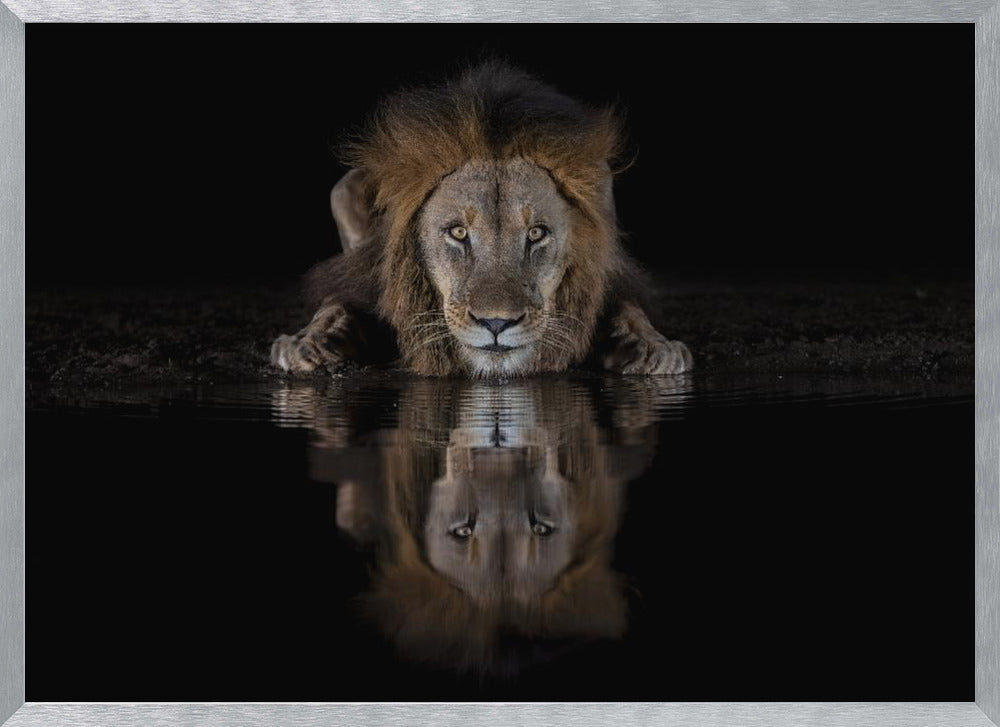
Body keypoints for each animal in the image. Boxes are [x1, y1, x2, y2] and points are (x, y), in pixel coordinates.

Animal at [271, 61, 692, 378]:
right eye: (458, 232)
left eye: (536, 233)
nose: (496, 324)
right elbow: (336, 301)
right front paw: (309, 342)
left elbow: (628, 307)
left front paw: (653, 347)